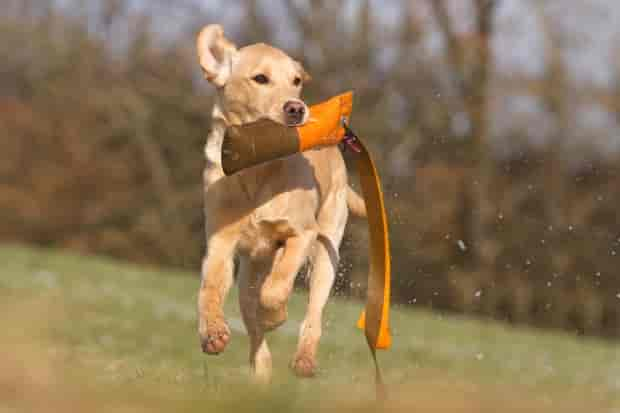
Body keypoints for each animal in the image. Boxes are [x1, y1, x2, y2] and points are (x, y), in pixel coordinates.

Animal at [196, 25, 366, 380]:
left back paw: (304, 359)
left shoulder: (302, 234)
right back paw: (260, 371)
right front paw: (212, 332)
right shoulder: (220, 242)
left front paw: (275, 315)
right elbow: (210, 288)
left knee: (312, 312)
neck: (258, 169)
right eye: (260, 78)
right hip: (249, 272)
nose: (297, 108)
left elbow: (277, 287)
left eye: (296, 80)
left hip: (326, 254)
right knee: (253, 323)